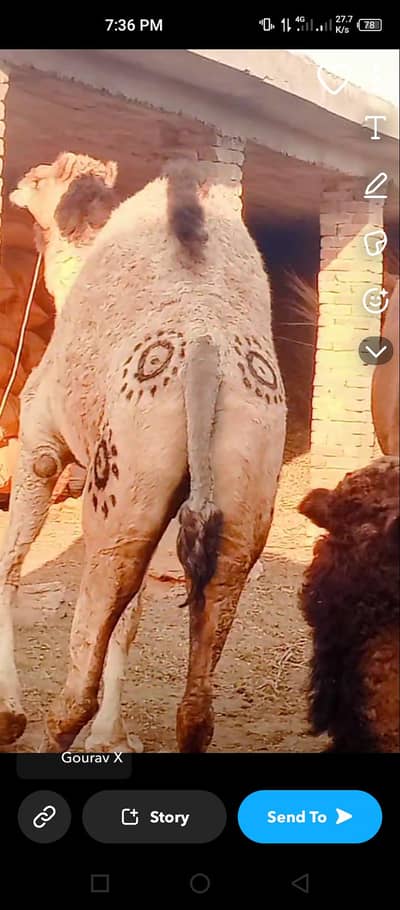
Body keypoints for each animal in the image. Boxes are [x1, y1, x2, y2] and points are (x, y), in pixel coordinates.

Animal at [0, 159, 286, 753]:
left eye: (39, 178)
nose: (13, 184)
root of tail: (205, 354)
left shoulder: (41, 439)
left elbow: (9, 567)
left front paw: (8, 714)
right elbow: (129, 618)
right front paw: (111, 738)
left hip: (119, 481)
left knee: (80, 676)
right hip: (243, 483)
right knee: (196, 700)